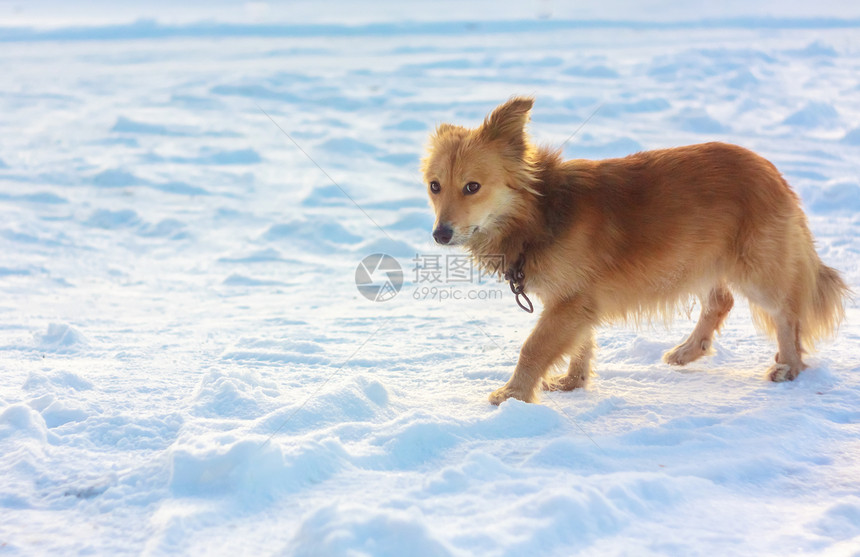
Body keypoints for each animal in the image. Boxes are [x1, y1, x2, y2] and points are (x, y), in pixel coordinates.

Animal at [420, 96, 848, 404]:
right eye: (435, 186)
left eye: (472, 187)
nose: (440, 234)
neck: (538, 212)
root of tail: (771, 170)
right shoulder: (577, 301)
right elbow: (581, 342)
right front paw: (574, 382)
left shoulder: (570, 301)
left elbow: (534, 347)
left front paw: (513, 395)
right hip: (698, 259)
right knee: (720, 301)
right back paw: (687, 352)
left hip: (754, 269)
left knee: (786, 313)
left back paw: (789, 367)